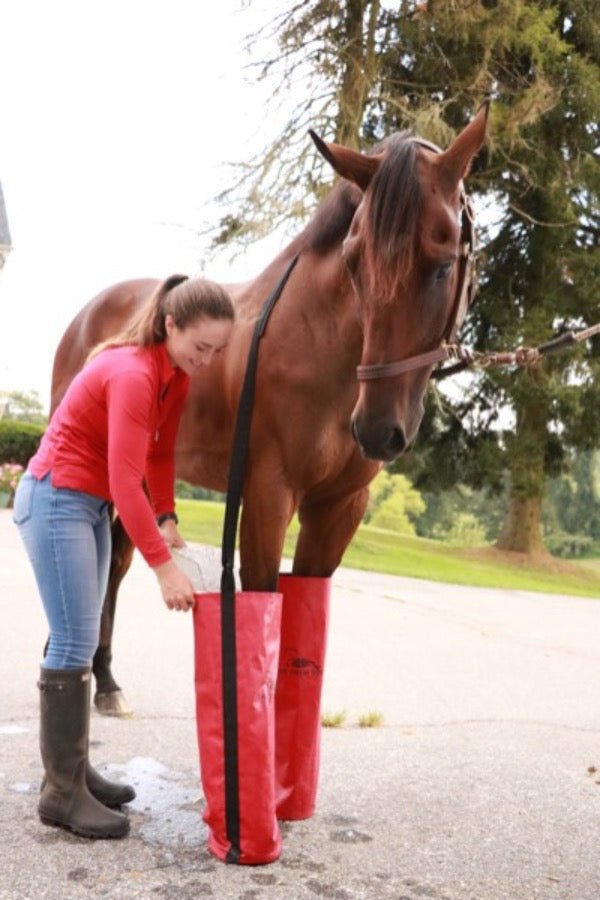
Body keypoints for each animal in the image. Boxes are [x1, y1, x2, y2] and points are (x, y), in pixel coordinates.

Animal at [48, 102, 488, 712]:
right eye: (354, 261)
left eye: (444, 265)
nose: (378, 430)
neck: (322, 350)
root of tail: (89, 314)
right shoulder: (265, 494)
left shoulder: (340, 506)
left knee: (112, 564)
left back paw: (106, 682)